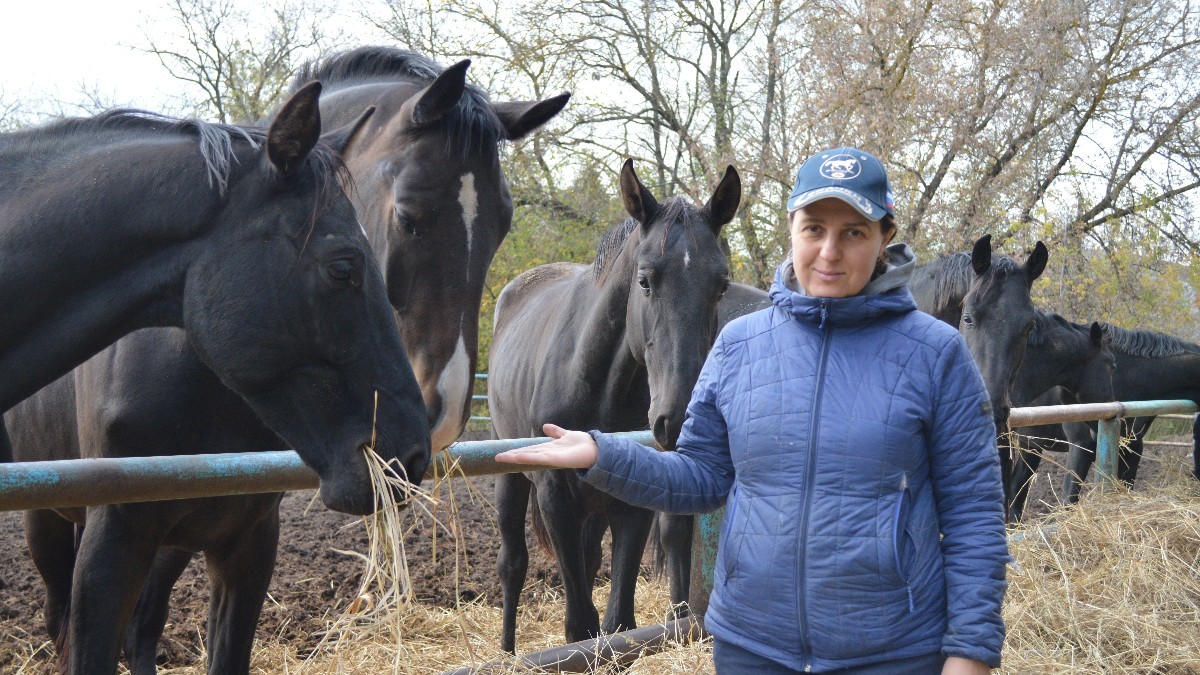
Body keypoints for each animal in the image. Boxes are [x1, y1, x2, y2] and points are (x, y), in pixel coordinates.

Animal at [5, 49, 566, 672]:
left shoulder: (248, 541)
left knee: (144, 630)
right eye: (408, 216)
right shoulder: (113, 542)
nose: (435, 419)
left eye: (502, 224)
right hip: (50, 525)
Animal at [489, 159, 739, 648]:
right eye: (644, 281)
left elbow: (617, 622)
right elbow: (579, 625)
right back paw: (506, 651)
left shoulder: (632, 504)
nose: (679, 419)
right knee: (512, 565)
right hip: (512, 477)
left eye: (720, 286)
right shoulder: (555, 497)